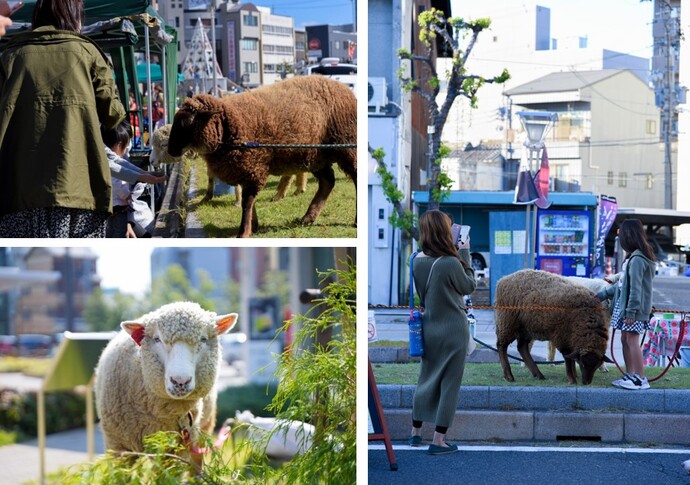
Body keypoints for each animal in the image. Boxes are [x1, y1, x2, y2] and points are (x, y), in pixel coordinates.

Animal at [167, 74, 354, 238]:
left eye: (187, 123)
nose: (170, 150)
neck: (229, 126)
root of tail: (345, 88)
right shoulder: (247, 170)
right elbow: (250, 201)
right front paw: (253, 226)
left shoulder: (254, 167)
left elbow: (247, 202)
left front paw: (244, 232)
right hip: (316, 156)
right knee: (328, 181)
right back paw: (308, 218)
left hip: (346, 147)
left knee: (354, 178)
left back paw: (354, 221)